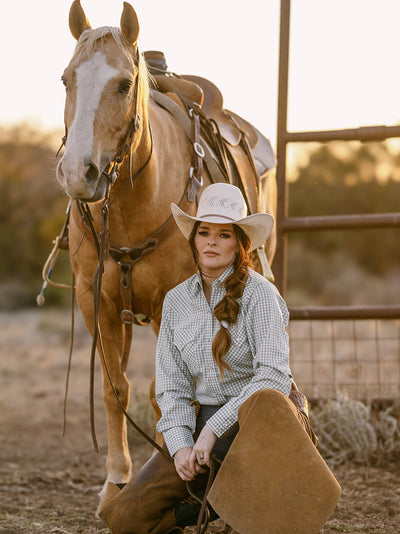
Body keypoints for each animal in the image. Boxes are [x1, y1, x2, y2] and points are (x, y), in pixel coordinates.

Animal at [56, 0, 276, 506]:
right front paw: (116, 480)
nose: (78, 173)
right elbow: (115, 388)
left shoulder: (167, 305)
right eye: (66, 80)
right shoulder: (95, 302)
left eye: (123, 84)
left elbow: (163, 391)